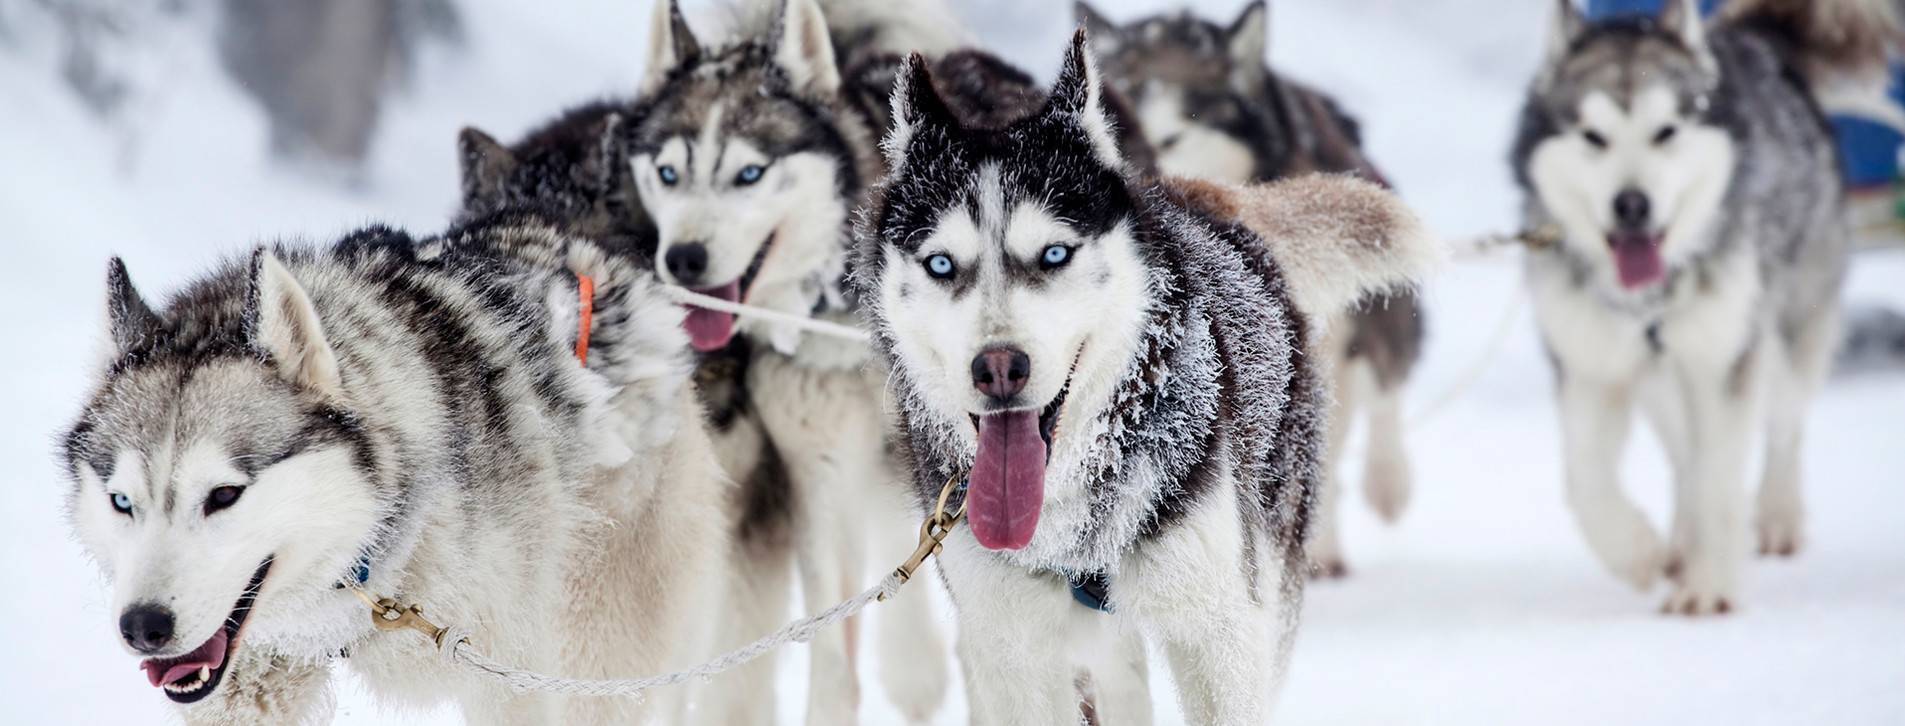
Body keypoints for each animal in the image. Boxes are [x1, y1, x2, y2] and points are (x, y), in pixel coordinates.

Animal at [1516, 0, 1889, 613]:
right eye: (1593, 136)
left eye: (1666, 132)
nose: (1632, 205)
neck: (1650, 301)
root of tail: (1761, 43)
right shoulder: (1589, 366)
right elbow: (1586, 478)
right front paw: (1636, 553)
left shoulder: (1725, 363)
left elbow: (1720, 478)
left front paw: (1709, 586)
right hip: (1664, 380)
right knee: (1684, 458)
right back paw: (1681, 542)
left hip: (1780, 336)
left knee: (1784, 427)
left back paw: (1778, 517)